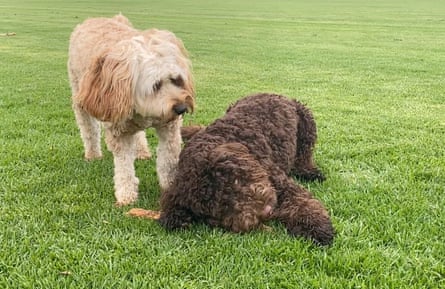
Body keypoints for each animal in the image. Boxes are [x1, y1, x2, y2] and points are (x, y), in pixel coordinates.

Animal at [68, 14, 193, 205]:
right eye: (156, 85)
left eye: (176, 79)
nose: (181, 108)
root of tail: (94, 18)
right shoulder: (117, 130)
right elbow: (124, 165)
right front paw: (126, 195)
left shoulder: (168, 127)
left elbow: (168, 157)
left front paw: (171, 185)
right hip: (79, 95)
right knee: (89, 129)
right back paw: (93, 154)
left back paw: (141, 151)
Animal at [159, 93, 332, 245]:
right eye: (218, 212)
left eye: (235, 180)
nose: (266, 212)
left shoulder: (280, 182)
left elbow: (303, 204)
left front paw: (318, 229)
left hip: (305, 121)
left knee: (304, 154)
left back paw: (309, 172)